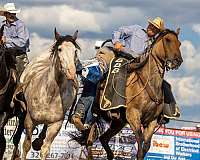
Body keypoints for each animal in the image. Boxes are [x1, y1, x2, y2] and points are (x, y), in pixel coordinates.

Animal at [12, 29, 80, 159]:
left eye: (75, 51)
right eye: (60, 49)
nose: (71, 72)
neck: (50, 94)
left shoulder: (56, 125)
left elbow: (45, 149)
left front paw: (40, 144)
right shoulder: (29, 121)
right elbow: (26, 145)